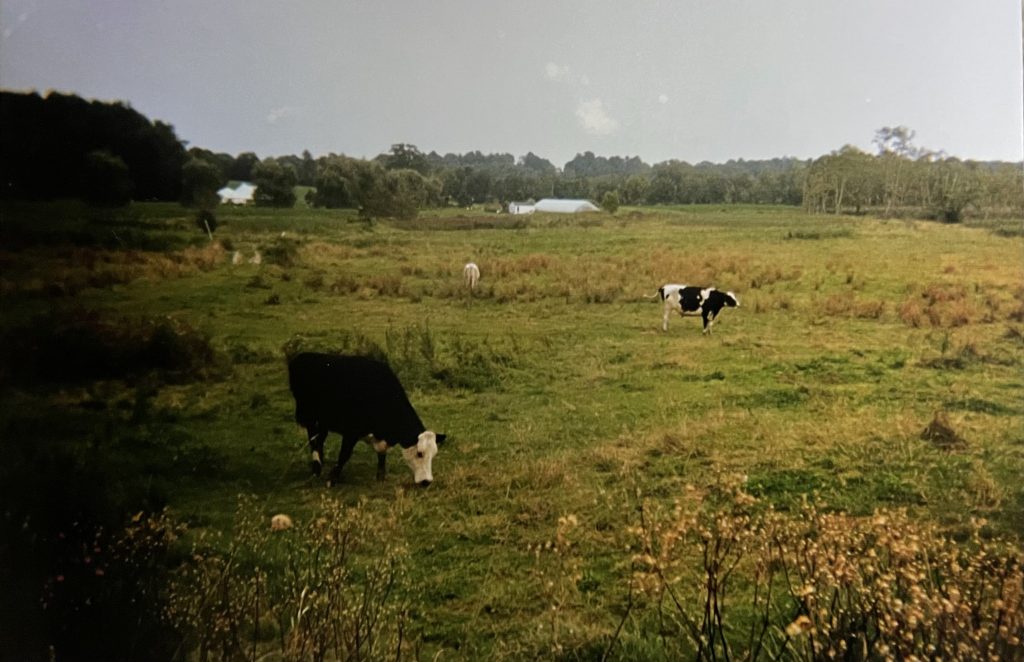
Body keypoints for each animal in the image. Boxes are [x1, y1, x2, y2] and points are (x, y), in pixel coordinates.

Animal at [288, 353, 446, 487]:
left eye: (434, 454)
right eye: (419, 453)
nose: (426, 482)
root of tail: (302, 356)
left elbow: (381, 452)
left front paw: (380, 476)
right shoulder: (351, 431)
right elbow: (344, 454)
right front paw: (332, 478)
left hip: (324, 420)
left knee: (320, 439)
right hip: (309, 415)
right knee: (313, 439)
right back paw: (316, 468)